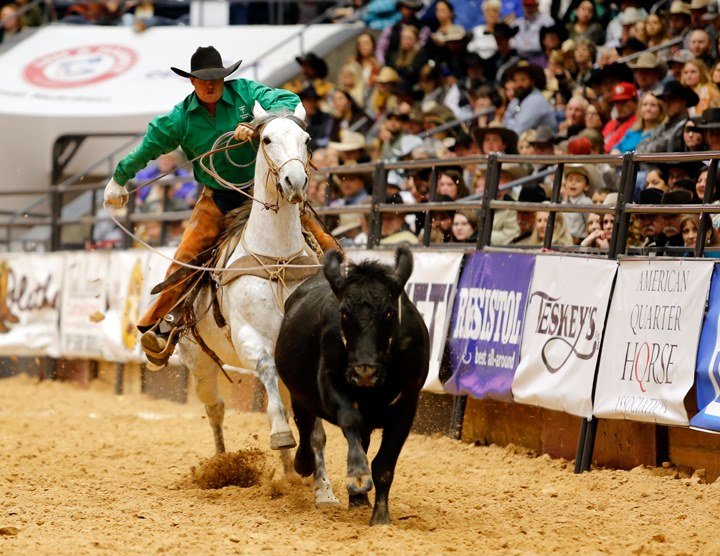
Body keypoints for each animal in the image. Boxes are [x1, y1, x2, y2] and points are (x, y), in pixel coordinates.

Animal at [175, 105, 318, 478]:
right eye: (266, 139)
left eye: (306, 139)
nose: (295, 182)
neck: (277, 257)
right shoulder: (249, 337)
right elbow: (266, 370)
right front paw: (281, 435)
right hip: (199, 364)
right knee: (215, 408)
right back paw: (222, 463)